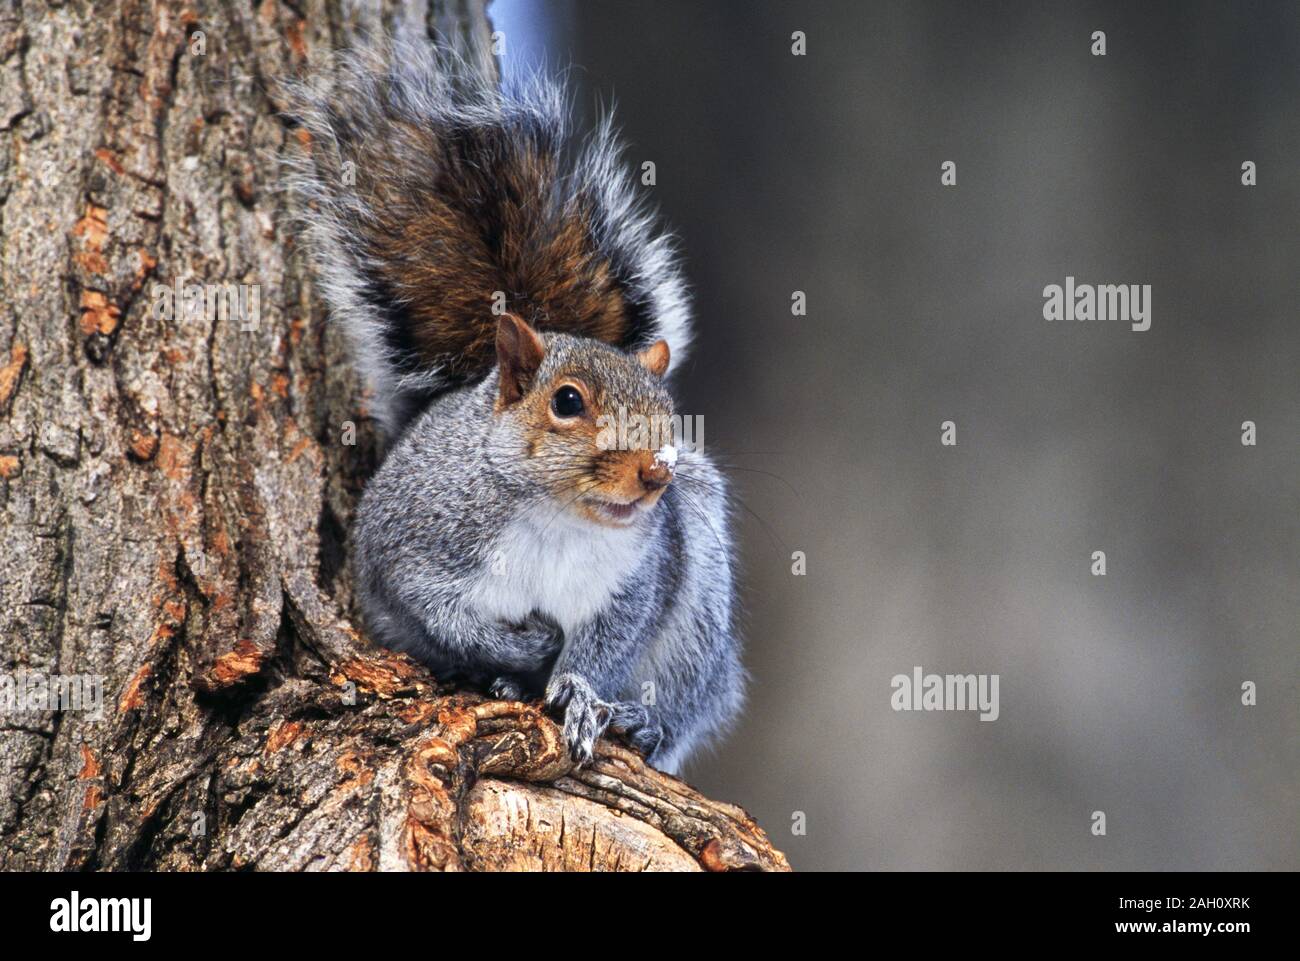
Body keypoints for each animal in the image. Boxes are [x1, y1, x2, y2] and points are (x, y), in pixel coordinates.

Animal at [288, 48, 748, 780]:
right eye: (567, 402)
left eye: (668, 412)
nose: (656, 474)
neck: (554, 513)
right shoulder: (411, 546)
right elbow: (440, 612)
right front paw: (520, 648)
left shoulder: (637, 579)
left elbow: (609, 644)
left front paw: (580, 694)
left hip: (698, 616)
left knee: (683, 705)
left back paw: (644, 722)